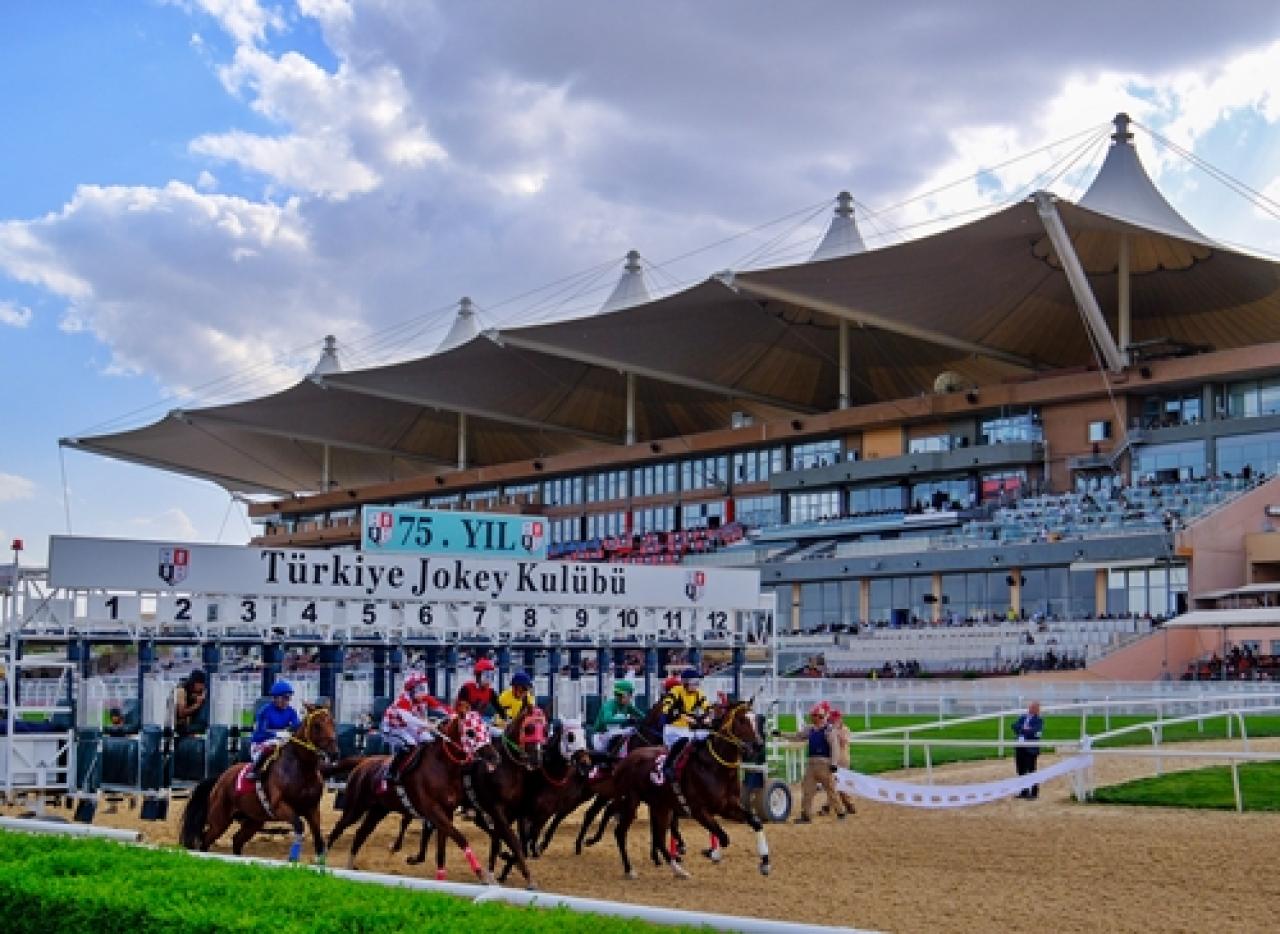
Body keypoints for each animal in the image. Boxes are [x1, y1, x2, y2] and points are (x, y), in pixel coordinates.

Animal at [183, 696, 340, 859]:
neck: (302, 769)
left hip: (253, 820)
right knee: (204, 841)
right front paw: (293, 857)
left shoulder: (312, 808)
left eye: (332, 722)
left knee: (237, 840)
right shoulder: (279, 806)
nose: (335, 753)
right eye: (317, 725)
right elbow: (299, 826)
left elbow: (319, 840)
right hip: (219, 820)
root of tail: (220, 779)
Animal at [325, 711, 494, 875]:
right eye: (471, 732)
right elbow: (459, 837)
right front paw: (483, 875)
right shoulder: (433, 811)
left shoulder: (447, 812)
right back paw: (322, 858)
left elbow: (442, 851)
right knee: (339, 827)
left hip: (378, 810)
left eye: (486, 729)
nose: (494, 756)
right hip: (355, 807)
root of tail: (363, 762)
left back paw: (349, 865)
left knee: (361, 833)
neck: (441, 766)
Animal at [601, 696, 768, 875]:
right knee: (620, 831)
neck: (715, 767)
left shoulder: (727, 806)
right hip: (630, 801)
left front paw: (765, 862)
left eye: (756, 719)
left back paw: (678, 870)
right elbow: (723, 837)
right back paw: (629, 869)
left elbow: (755, 822)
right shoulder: (699, 810)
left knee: (658, 837)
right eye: (741, 720)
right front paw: (712, 853)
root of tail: (624, 760)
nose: (758, 745)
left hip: (660, 806)